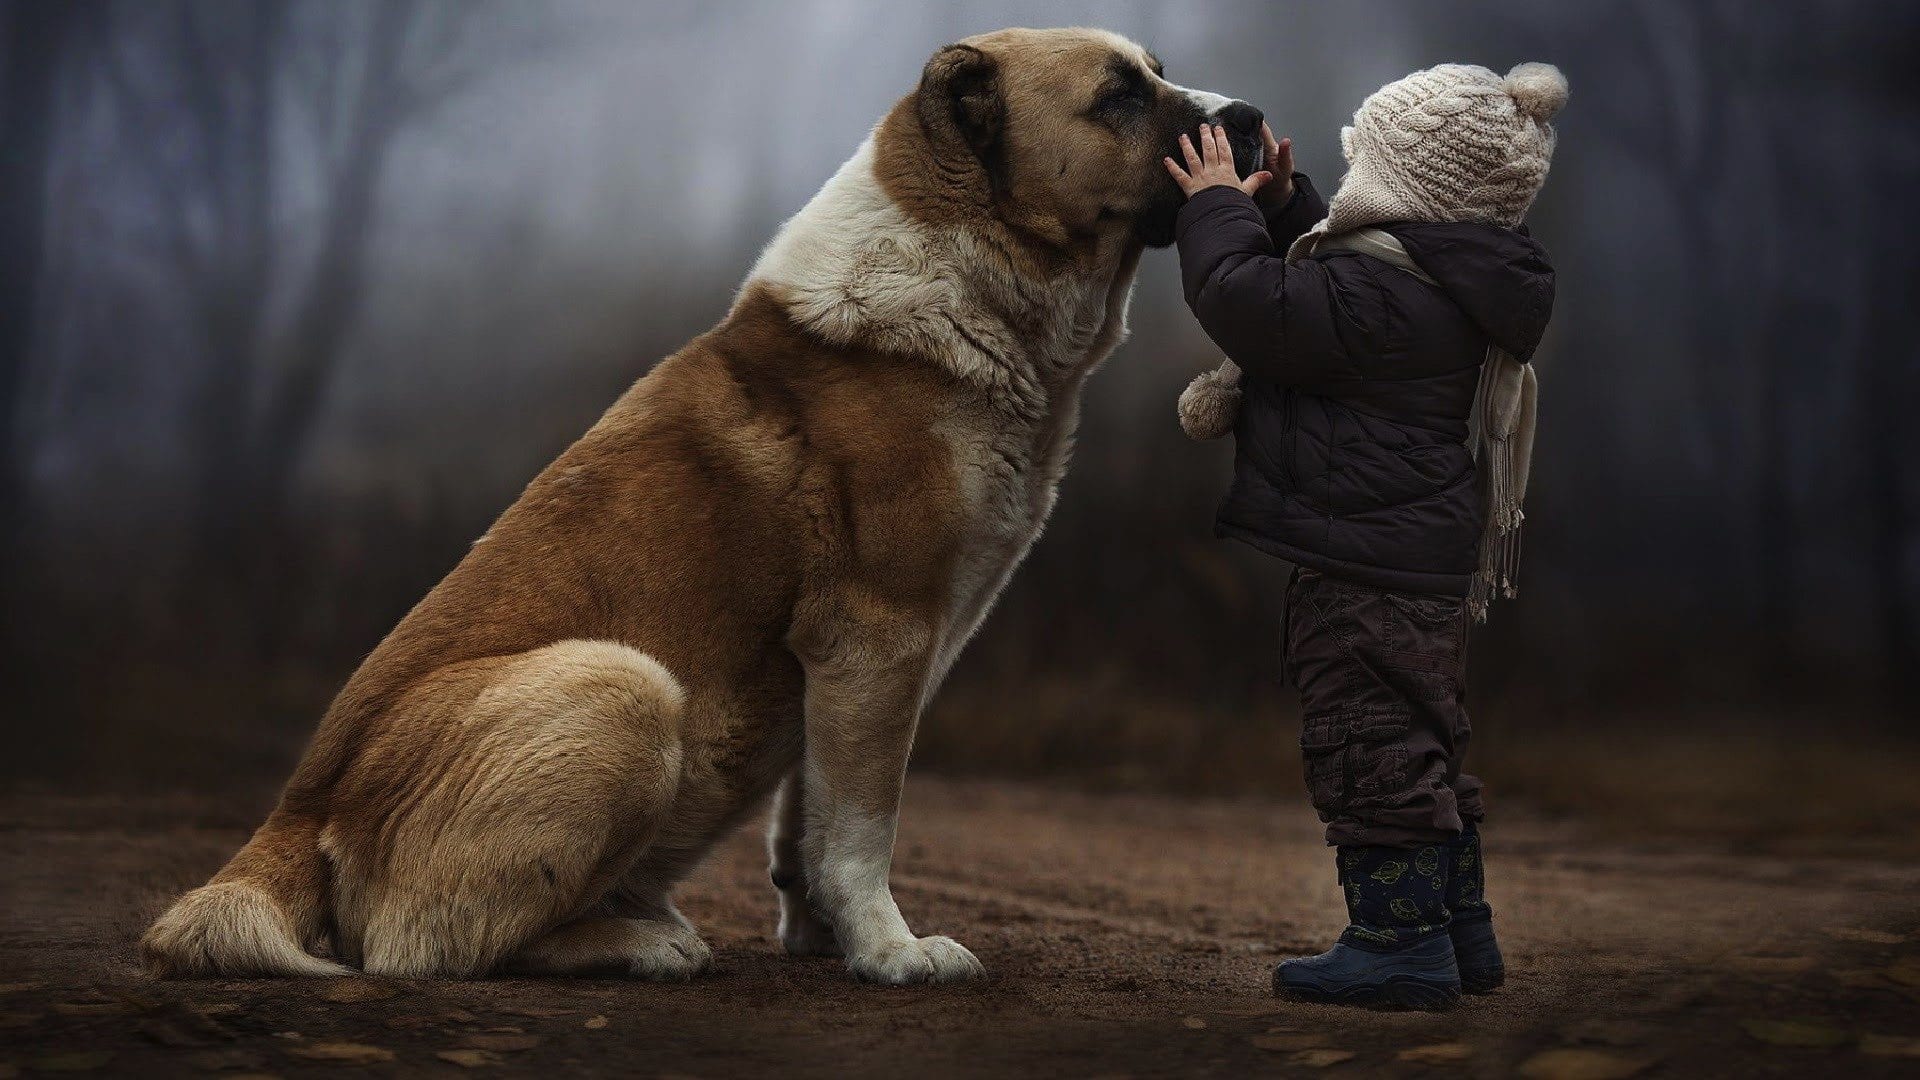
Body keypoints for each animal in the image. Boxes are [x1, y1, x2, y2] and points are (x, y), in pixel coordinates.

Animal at [145, 27, 1259, 983]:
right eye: (1118, 96)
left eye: (1159, 73)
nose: (1247, 117)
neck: (967, 272)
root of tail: (291, 819)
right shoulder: (880, 638)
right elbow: (864, 826)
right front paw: (892, 954)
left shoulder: (846, 669)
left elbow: (810, 821)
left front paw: (826, 939)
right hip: (626, 686)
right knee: (428, 946)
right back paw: (644, 941)